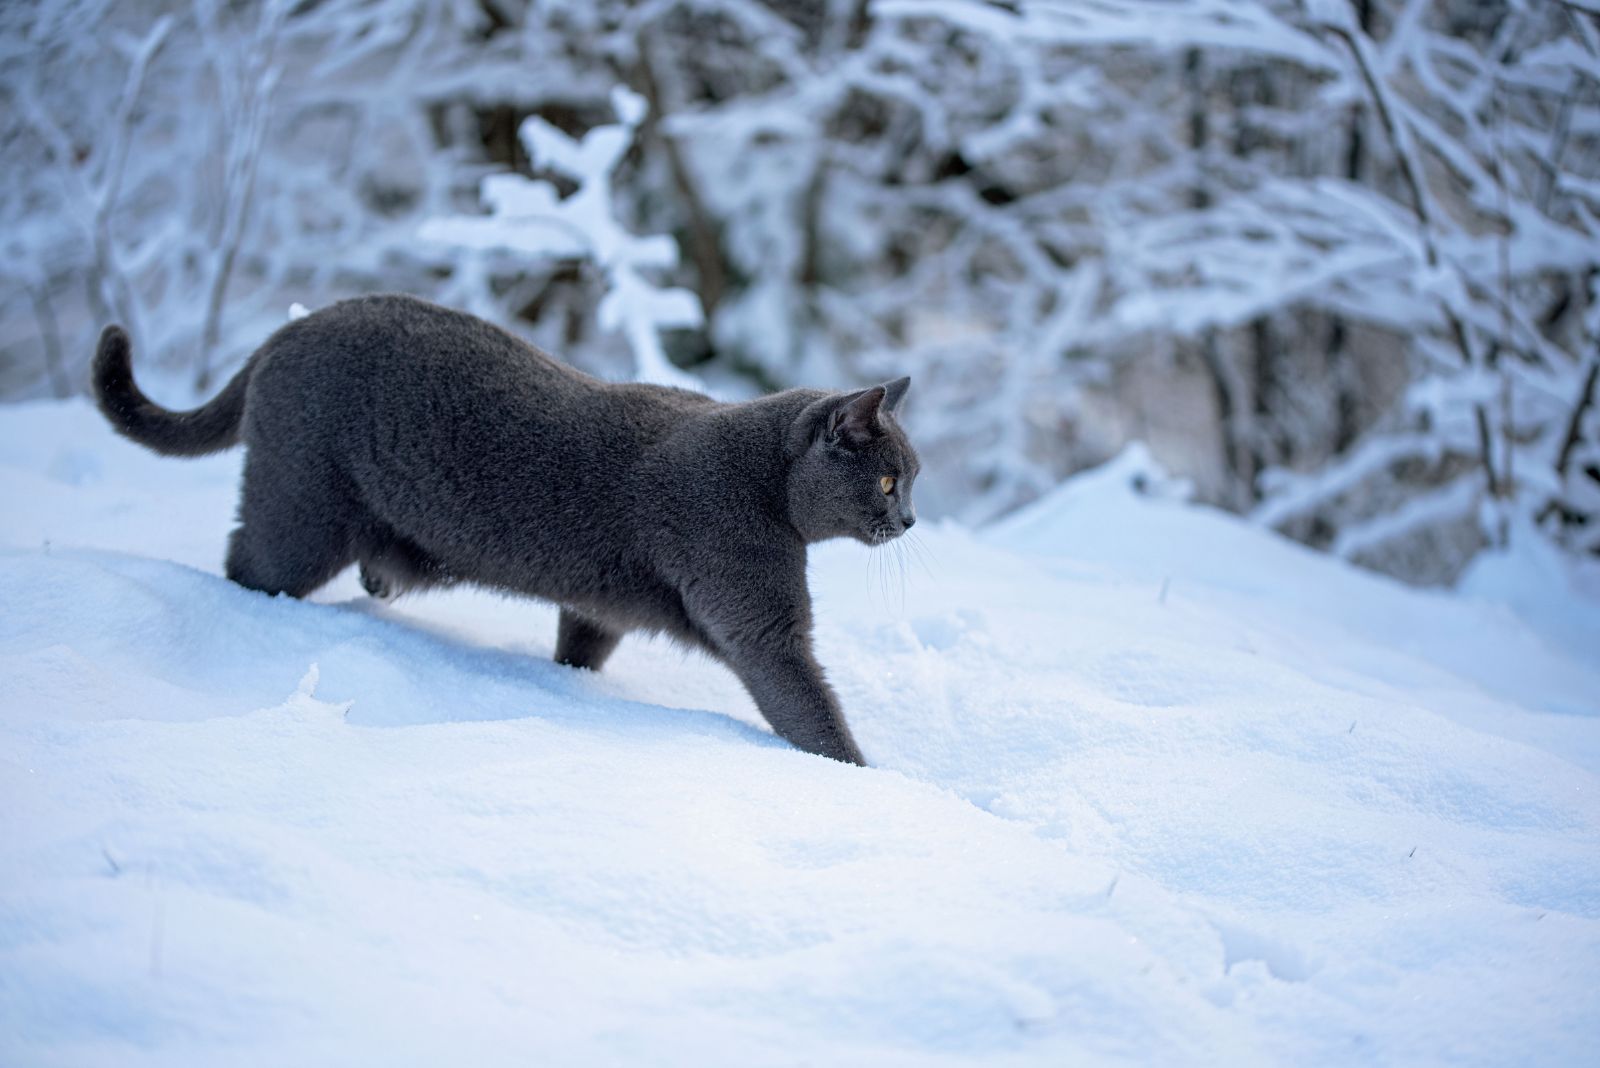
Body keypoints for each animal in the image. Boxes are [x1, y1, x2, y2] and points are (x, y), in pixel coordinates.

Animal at [93, 295, 921, 764]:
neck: (765, 484)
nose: (909, 519)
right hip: (302, 505)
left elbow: (581, 646)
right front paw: (862, 778)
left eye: (912, 479)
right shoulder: (756, 613)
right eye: (887, 480)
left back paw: (382, 578)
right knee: (247, 562)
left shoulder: (599, 608)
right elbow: (808, 708)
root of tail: (284, 334)